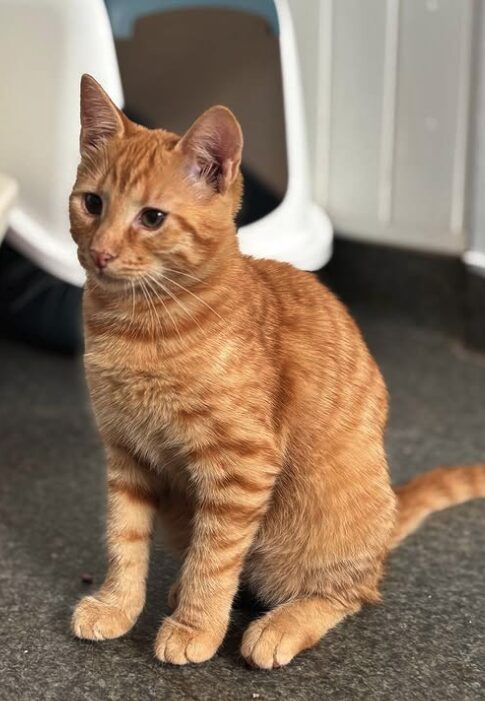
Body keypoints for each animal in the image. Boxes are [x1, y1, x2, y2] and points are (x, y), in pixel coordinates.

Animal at [70, 75, 482, 668]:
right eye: (92, 203)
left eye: (151, 218)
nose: (100, 253)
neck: (137, 327)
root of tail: (383, 529)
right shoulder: (127, 455)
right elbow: (124, 541)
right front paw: (118, 606)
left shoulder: (241, 465)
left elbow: (215, 559)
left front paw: (195, 626)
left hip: (320, 526)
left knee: (348, 591)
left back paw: (280, 623)